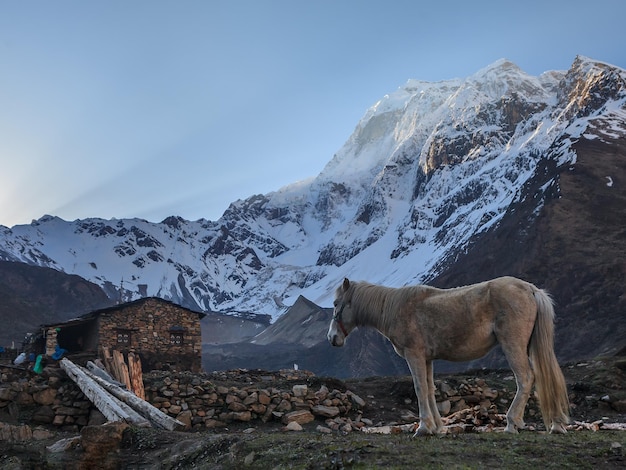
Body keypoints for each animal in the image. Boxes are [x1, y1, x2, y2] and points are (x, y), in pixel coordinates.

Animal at [330, 278, 568, 436]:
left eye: (335, 304)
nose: (332, 337)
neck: (396, 309)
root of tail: (530, 289)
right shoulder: (426, 359)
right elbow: (430, 389)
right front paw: (437, 427)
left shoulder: (414, 355)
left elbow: (419, 389)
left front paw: (423, 428)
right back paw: (555, 424)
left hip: (513, 345)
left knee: (525, 379)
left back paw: (511, 424)